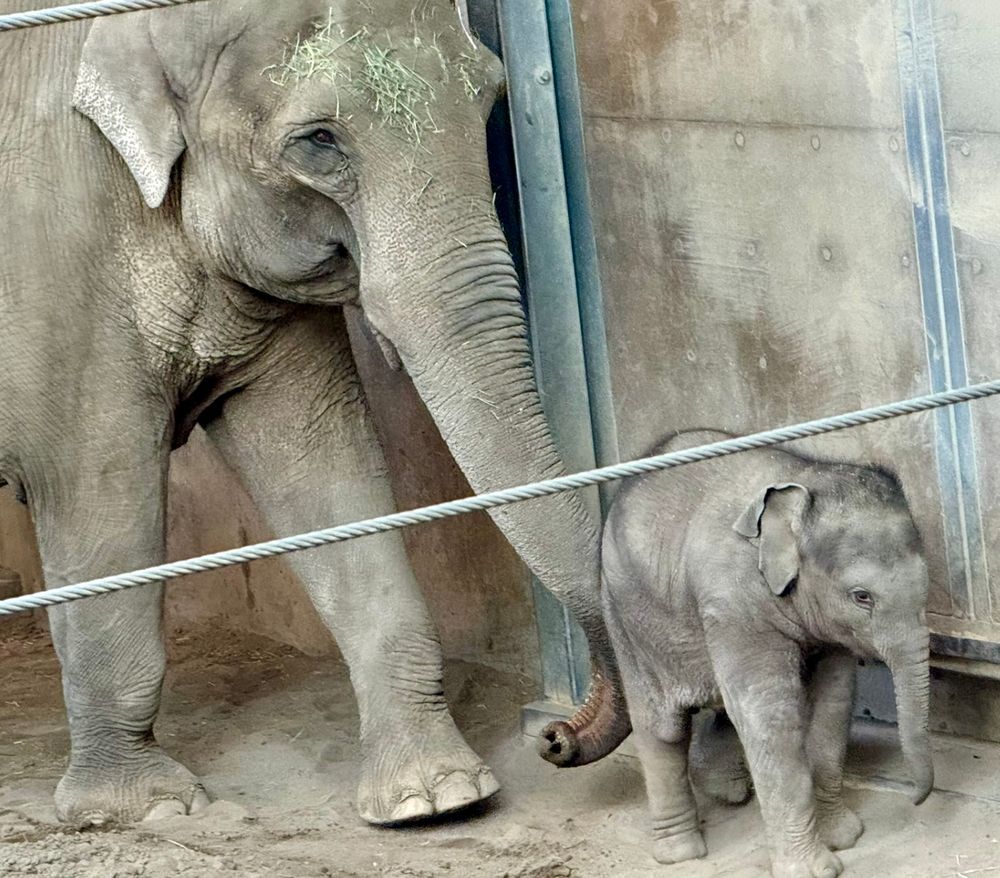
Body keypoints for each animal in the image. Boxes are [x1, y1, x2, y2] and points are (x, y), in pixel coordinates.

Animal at [0, 0, 631, 827]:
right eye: (319, 140)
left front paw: (435, 797)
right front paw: (144, 809)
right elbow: (100, 487)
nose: (555, 736)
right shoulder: (55, 254)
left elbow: (323, 465)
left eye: (491, 99)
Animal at [601, 430, 932, 878]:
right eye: (861, 596)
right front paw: (814, 869)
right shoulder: (733, 604)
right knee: (662, 728)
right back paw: (681, 853)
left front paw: (843, 837)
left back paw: (726, 790)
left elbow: (834, 702)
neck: (806, 481)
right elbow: (769, 715)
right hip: (624, 615)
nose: (915, 800)